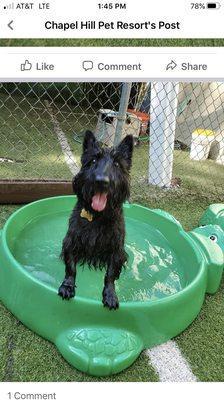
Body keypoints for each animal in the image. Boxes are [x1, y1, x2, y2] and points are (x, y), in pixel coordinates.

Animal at [58, 130, 134, 310]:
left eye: (117, 164)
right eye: (93, 161)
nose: (101, 181)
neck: (98, 215)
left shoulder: (116, 251)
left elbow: (110, 274)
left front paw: (110, 294)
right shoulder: (71, 242)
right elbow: (71, 268)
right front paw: (67, 285)